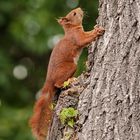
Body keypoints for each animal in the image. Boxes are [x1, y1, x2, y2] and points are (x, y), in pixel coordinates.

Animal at [29, 7, 104, 140]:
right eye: (74, 13)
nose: (80, 8)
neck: (72, 29)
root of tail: (48, 80)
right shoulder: (77, 37)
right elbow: (85, 39)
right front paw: (97, 31)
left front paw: (96, 27)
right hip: (70, 67)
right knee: (57, 84)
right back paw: (69, 81)